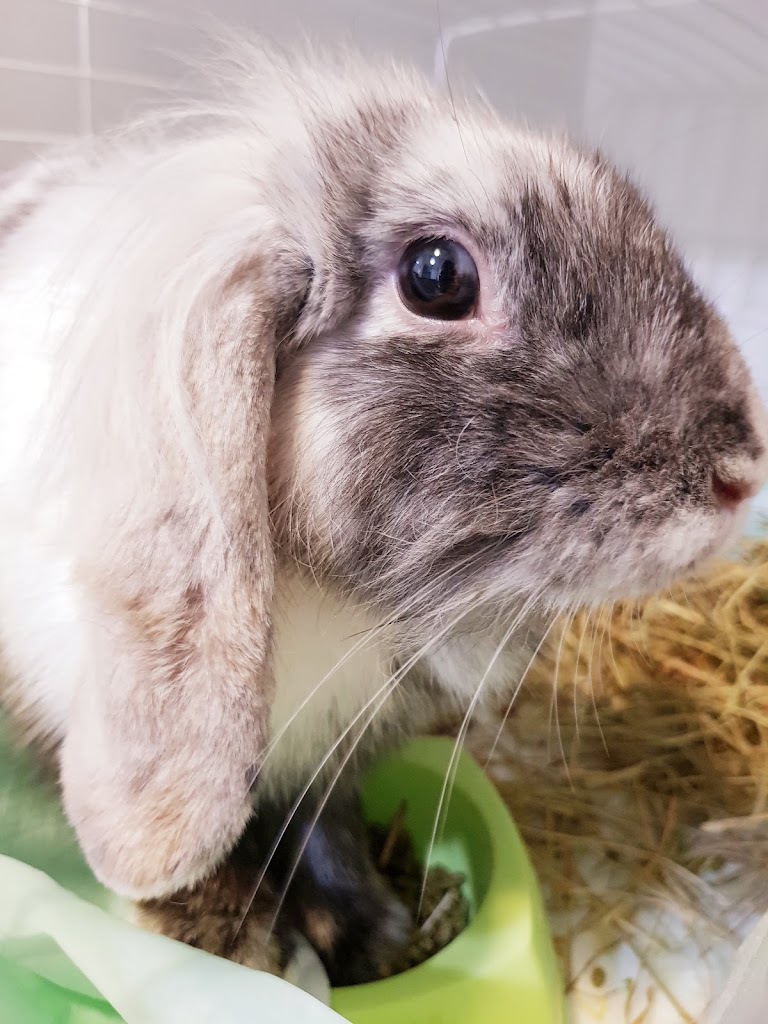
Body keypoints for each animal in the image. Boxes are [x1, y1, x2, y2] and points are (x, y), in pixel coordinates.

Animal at [1, 39, 767, 985]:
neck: (337, 604)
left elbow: (323, 828)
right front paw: (230, 941)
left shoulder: (330, 762)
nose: (742, 471)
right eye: (437, 274)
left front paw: (373, 930)